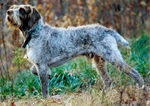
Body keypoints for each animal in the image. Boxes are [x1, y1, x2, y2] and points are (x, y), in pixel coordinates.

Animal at [6, 4, 146, 97]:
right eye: (13, 7)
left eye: (21, 10)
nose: (8, 11)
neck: (34, 33)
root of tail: (106, 29)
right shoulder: (40, 65)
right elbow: (33, 70)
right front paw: (50, 74)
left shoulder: (41, 65)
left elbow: (44, 89)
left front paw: (45, 100)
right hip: (99, 62)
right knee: (108, 81)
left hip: (112, 57)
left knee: (134, 72)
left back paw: (142, 88)